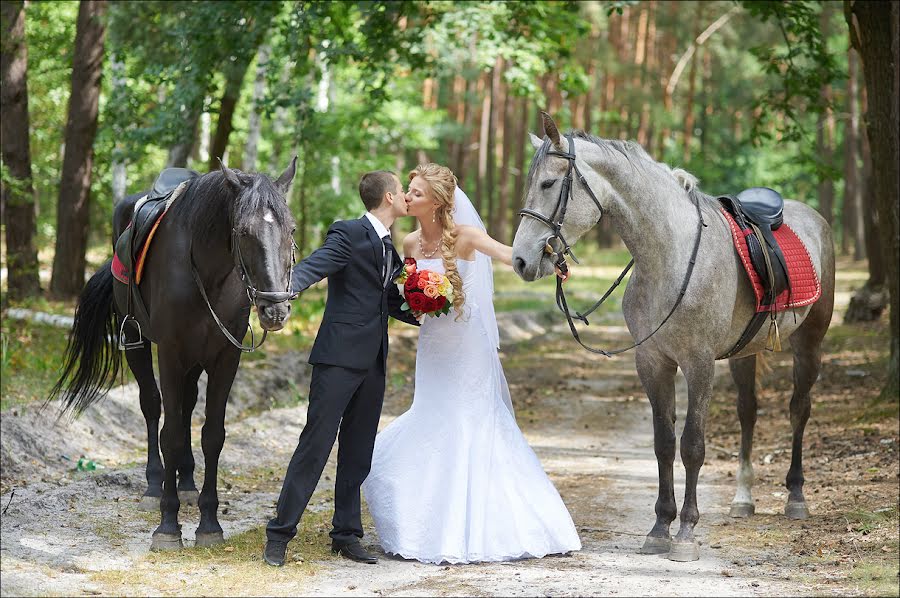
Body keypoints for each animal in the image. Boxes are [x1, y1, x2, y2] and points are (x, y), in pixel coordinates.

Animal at [51, 161, 298, 552]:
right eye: (243, 232)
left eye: (291, 230)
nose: (275, 309)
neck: (208, 271)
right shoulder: (169, 353)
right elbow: (169, 432)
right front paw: (168, 526)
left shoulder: (225, 357)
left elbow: (212, 434)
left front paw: (209, 523)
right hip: (137, 341)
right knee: (153, 406)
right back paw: (155, 485)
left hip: (194, 361)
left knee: (185, 407)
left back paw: (186, 482)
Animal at [512, 112, 836, 564]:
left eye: (547, 184)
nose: (520, 260)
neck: (670, 255)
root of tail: (813, 219)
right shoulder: (653, 362)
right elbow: (664, 443)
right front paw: (659, 528)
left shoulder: (698, 364)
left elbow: (692, 445)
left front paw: (685, 533)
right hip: (744, 354)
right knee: (748, 412)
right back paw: (743, 498)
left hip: (809, 343)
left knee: (798, 410)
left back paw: (796, 497)